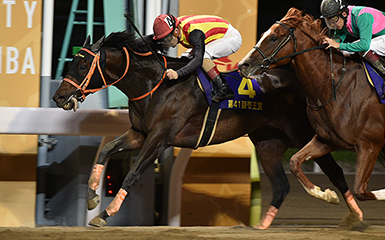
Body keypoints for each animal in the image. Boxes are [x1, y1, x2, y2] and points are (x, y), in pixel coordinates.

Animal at [52, 31, 356, 228]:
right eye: (72, 61)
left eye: (82, 64)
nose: (58, 96)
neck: (156, 84)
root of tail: (300, 82)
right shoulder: (140, 134)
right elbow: (105, 151)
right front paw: (92, 197)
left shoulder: (160, 138)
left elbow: (132, 174)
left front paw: (105, 214)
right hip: (267, 143)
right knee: (281, 185)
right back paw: (260, 227)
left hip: (304, 134)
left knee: (334, 171)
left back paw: (348, 211)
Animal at [238, 7, 382, 223]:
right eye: (264, 33)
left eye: (273, 37)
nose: (243, 65)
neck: (334, 87)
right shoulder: (326, 139)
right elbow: (294, 162)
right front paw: (327, 195)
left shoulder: (370, 144)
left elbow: (360, 190)